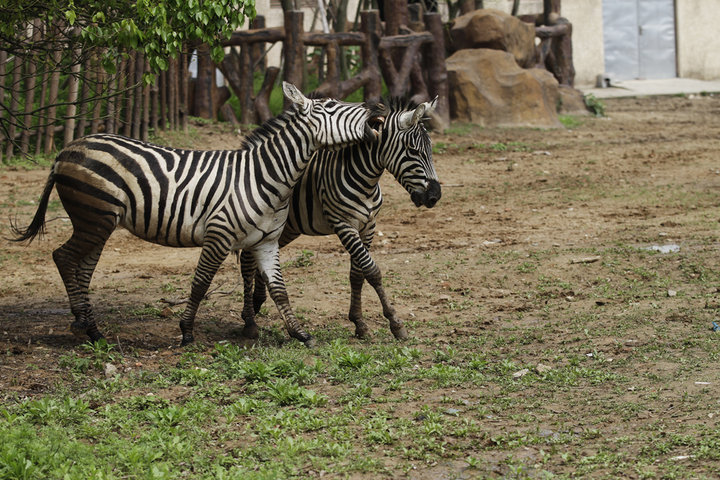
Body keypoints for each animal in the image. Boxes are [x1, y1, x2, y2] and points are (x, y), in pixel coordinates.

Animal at [11, 80, 386, 346]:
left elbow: (279, 289)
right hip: (94, 217)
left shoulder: (266, 242)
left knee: (83, 266)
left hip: (99, 222)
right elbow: (201, 283)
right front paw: (187, 331)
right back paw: (86, 328)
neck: (265, 175)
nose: (377, 105)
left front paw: (299, 333)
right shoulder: (218, 235)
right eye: (332, 107)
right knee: (63, 257)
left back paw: (88, 326)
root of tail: (67, 149)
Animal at [240, 95, 438, 340]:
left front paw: (359, 322)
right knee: (246, 260)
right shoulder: (343, 224)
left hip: (287, 229)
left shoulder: (368, 225)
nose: (435, 195)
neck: (365, 180)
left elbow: (357, 273)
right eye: (412, 150)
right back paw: (249, 321)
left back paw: (257, 303)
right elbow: (372, 271)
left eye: (430, 149)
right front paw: (395, 322)